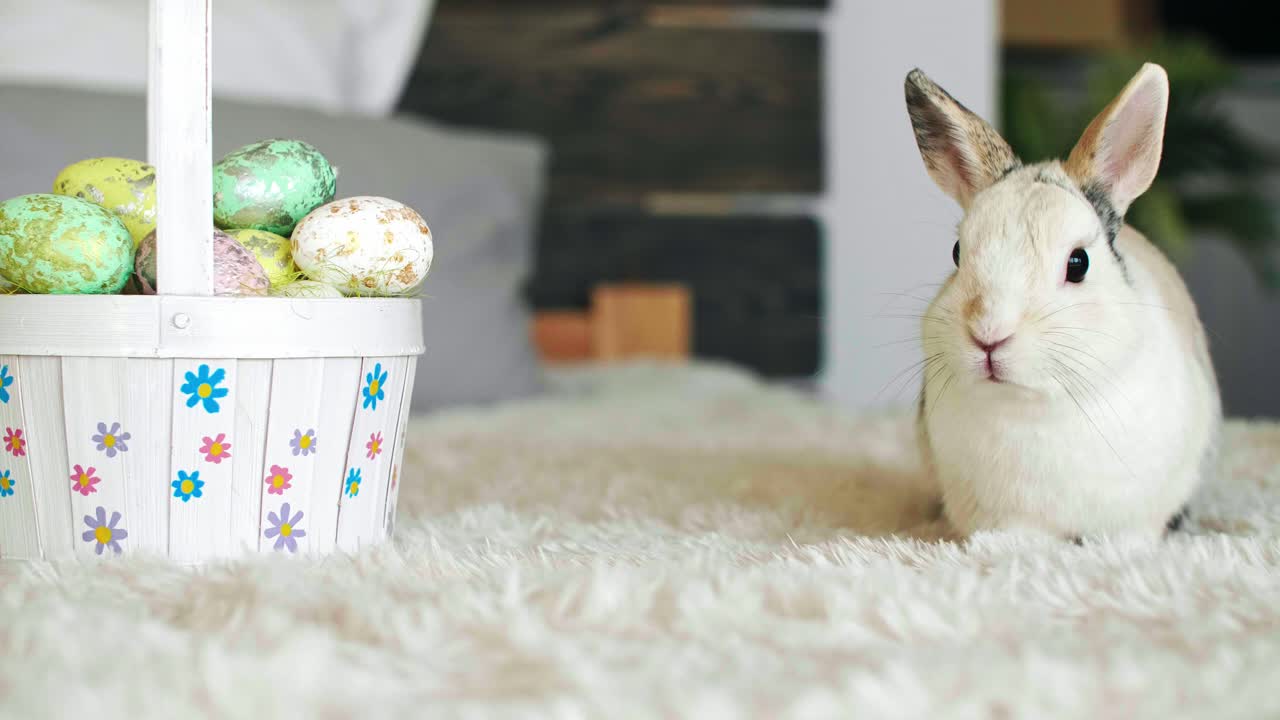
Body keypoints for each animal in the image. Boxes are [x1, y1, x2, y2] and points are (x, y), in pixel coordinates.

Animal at [903, 63, 1221, 541]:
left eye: (1078, 263)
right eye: (958, 253)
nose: (988, 335)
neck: (1032, 406)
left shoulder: (1138, 514)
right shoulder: (1005, 516)